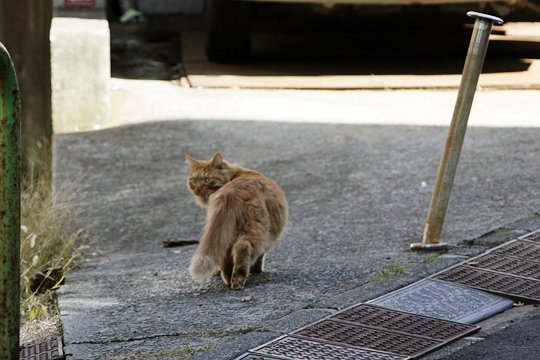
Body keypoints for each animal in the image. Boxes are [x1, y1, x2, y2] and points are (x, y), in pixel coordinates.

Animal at [186, 153, 286, 290]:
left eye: (206, 179)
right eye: (194, 180)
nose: (197, 190)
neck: (235, 174)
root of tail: (230, 193)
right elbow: (261, 255)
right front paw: (257, 269)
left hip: (226, 234)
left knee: (226, 256)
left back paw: (228, 279)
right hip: (255, 230)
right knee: (244, 247)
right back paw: (238, 280)